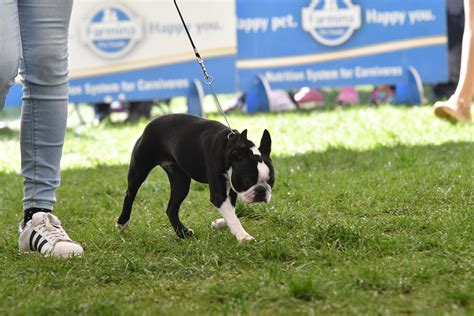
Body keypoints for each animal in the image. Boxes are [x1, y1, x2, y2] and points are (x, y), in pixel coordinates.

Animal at [116, 113, 276, 242]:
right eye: (247, 180)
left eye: (272, 181)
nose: (262, 191)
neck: (229, 149)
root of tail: (151, 122)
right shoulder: (219, 194)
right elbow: (232, 216)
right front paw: (244, 236)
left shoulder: (231, 188)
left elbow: (232, 212)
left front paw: (219, 223)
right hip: (139, 170)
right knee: (130, 194)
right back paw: (122, 222)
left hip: (181, 182)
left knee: (171, 208)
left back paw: (183, 233)